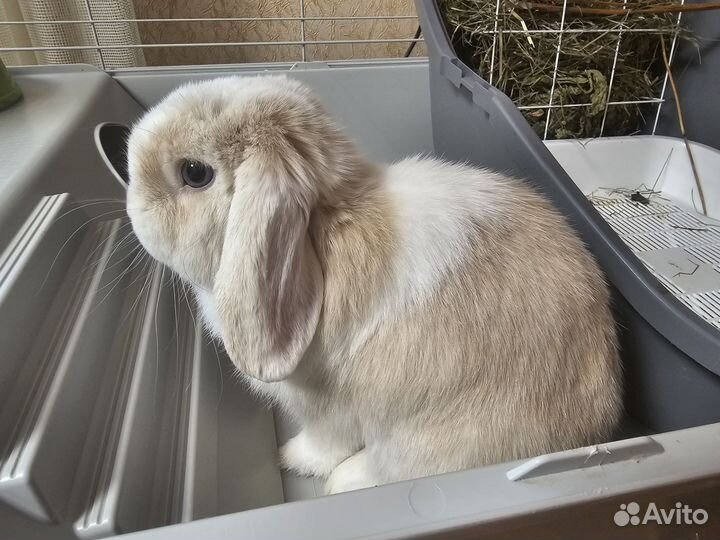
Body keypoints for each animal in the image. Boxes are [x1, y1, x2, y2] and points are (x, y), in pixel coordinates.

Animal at [126, 74, 622, 495]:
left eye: (195, 173)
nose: (130, 199)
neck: (320, 232)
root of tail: (588, 434)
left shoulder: (325, 413)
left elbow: (321, 443)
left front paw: (289, 457)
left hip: (425, 447)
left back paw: (344, 482)